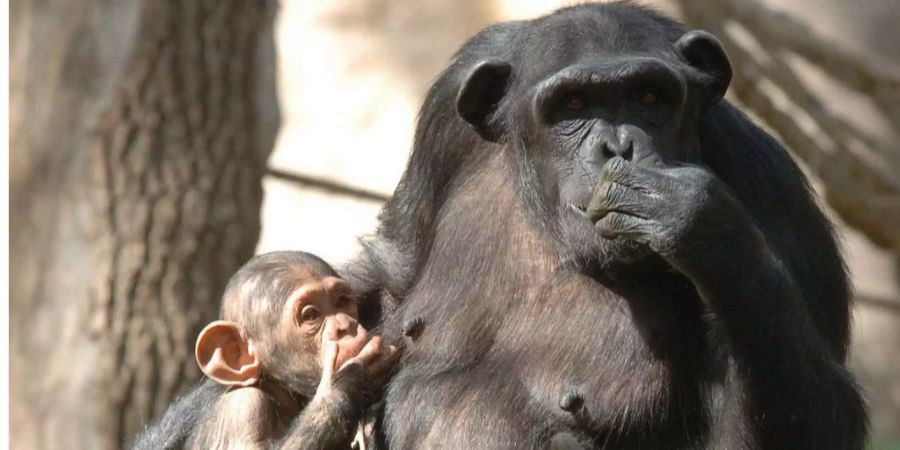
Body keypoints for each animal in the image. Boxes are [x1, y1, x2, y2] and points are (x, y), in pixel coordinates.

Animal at [133, 251, 398, 448]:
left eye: (342, 301)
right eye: (311, 315)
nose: (345, 326)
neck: (278, 390)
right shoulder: (244, 409)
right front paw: (348, 380)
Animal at [344, 1, 864, 448]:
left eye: (649, 96)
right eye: (574, 104)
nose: (618, 146)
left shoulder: (772, 189)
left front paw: (703, 226)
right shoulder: (445, 116)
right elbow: (393, 270)